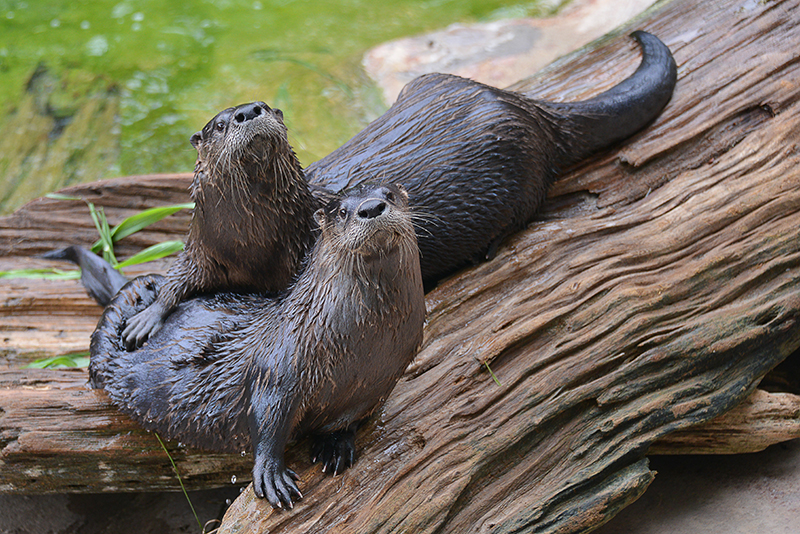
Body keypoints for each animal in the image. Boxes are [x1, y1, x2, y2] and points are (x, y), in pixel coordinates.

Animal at [89, 183, 425, 509]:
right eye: (342, 211)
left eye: (389, 195)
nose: (370, 207)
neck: (360, 350)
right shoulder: (281, 364)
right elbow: (268, 418)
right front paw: (271, 474)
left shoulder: (376, 386)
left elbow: (348, 420)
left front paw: (335, 446)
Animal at [121, 101, 320, 348]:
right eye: (219, 125)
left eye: (264, 105)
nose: (249, 111)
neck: (253, 246)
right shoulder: (201, 252)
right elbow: (175, 277)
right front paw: (147, 317)